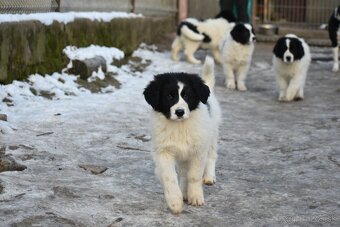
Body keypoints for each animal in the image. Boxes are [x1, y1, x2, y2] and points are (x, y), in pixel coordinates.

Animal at [143, 56, 220, 213]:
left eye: (187, 96)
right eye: (169, 96)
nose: (179, 112)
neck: (180, 127)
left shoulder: (198, 150)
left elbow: (194, 176)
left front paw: (195, 196)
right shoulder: (164, 151)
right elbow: (170, 177)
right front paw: (175, 201)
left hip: (211, 134)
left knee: (211, 156)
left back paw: (209, 177)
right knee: (184, 172)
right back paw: (183, 192)